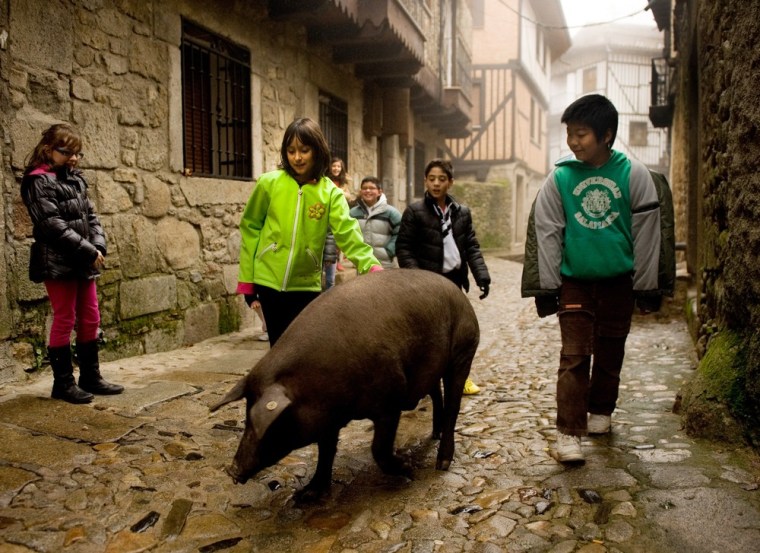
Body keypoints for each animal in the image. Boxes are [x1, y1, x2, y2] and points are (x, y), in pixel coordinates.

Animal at [209, 269, 480, 501]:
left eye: (273, 423)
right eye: (246, 417)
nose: (232, 471)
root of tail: (457, 292)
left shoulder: (389, 400)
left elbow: (378, 448)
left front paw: (408, 468)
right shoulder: (328, 418)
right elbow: (326, 451)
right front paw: (305, 495)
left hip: (464, 351)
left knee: (453, 405)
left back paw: (442, 464)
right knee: (436, 395)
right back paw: (434, 434)